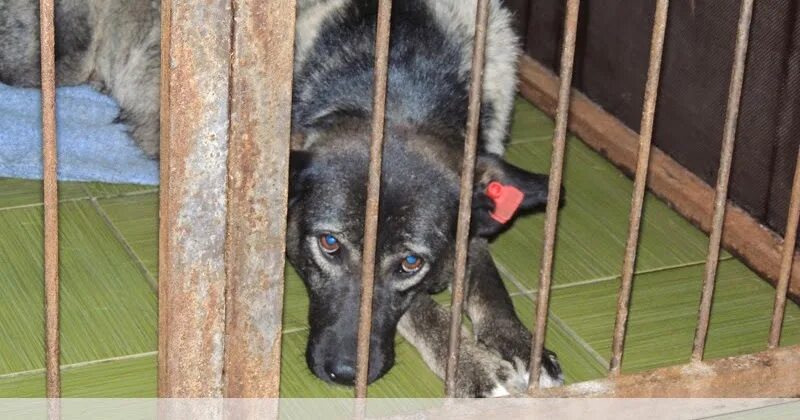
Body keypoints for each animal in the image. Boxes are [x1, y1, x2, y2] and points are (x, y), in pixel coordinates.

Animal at [0, 0, 564, 396]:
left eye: (409, 262)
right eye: (330, 244)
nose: (343, 374)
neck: (401, 77)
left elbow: (485, 277)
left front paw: (517, 342)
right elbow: (424, 308)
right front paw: (470, 363)